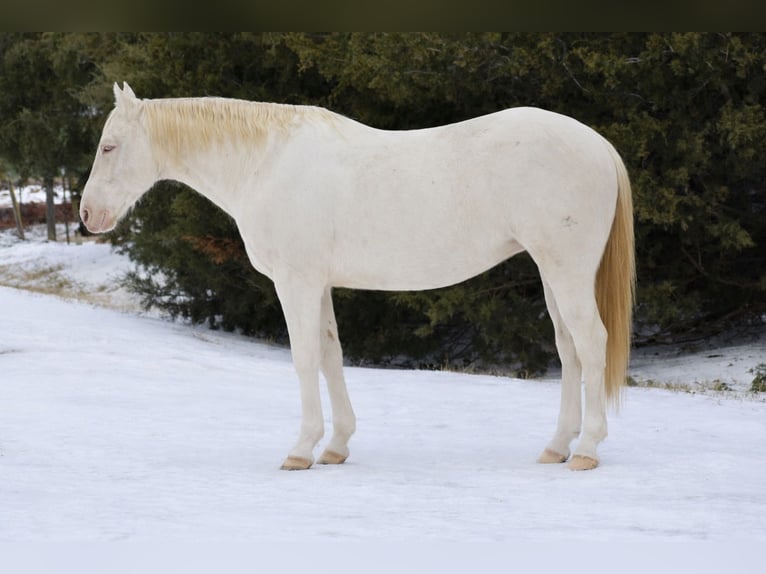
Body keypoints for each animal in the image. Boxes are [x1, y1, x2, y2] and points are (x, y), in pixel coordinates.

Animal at [81, 82, 635, 471]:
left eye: (109, 147)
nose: (88, 215)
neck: (267, 163)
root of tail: (599, 145)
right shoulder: (320, 283)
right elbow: (331, 354)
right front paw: (337, 446)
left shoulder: (297, 282)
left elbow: (305, 359)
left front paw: (301, 449)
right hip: (552, 273)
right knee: (568, 350)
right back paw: (557, 447)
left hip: (567, 270)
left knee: (591, 343)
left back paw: (587, 449)